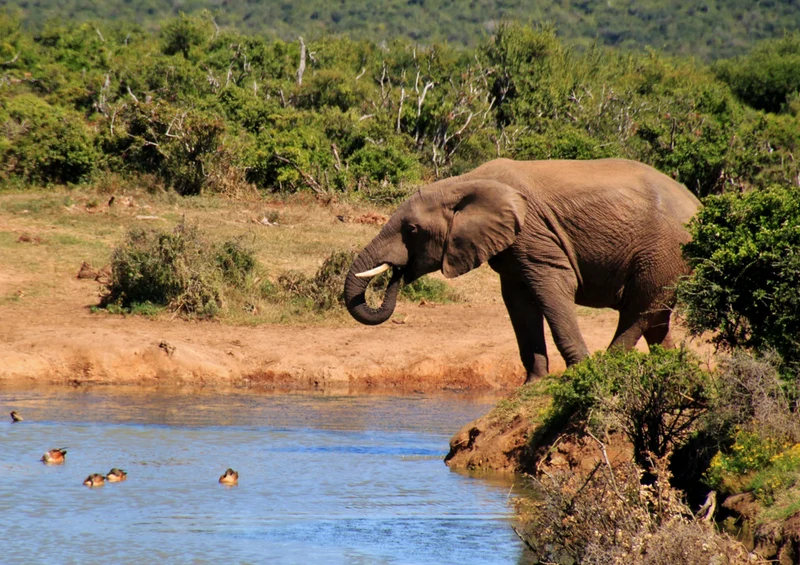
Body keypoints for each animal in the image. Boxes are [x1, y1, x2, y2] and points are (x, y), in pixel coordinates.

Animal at [344, 158, 700, 383]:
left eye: (412, 229)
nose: (397, 273)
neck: (463, 183)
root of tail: (697, 203)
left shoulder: (534, 234)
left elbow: (552, 288)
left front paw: (579, 373)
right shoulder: (512, 250)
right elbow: (519, 303)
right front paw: (534, 383)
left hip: (663, 250)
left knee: (639, 309)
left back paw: (606, 367)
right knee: (656, 318)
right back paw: (673, 370)